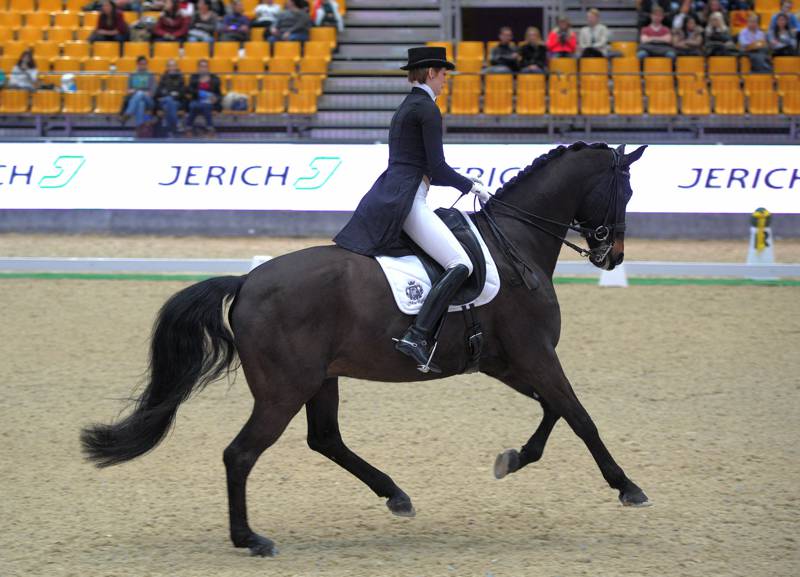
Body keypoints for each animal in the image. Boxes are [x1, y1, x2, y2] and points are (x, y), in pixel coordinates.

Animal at [83, 142, 648, 556]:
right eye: (623, 189)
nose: (613, 255)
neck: (517, 246)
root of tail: (245, 281)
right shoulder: (536, 354)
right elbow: (580, 416)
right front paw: (627, 487)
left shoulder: (507, 362)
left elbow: (555, 411)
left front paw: (512, 459)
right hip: (284, 390)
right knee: (241, 453)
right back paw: (251, 539)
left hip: (320, 379)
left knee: (325, 439)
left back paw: (395, 496)